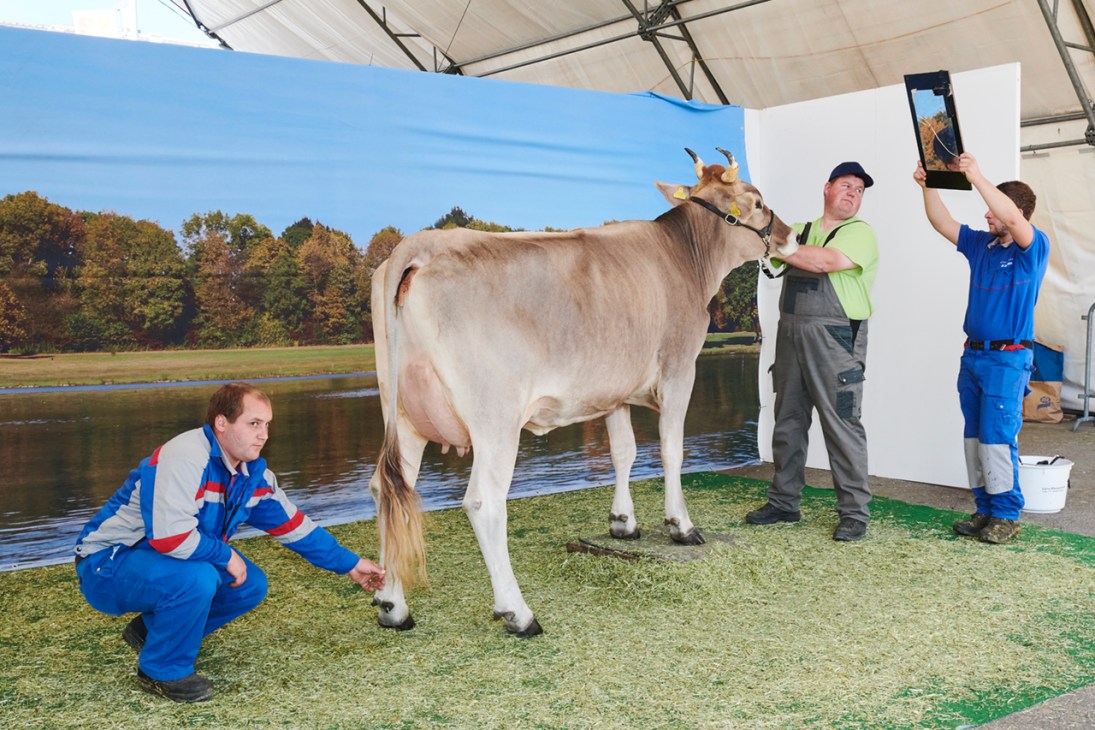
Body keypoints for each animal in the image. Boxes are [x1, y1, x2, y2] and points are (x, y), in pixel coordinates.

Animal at [367, 148, 798, 637]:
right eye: (758, 202)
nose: (792, 235)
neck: (683, 258)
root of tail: (420, 245)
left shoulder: (614, 390)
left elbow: (624, 452)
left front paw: (623, 523)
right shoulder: (678, 368)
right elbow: (671, 451)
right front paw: (681, 525)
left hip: (401, 413)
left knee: (390, 491)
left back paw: (393, 606)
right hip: (495, 418)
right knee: (483, 502)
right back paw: (518, 612)